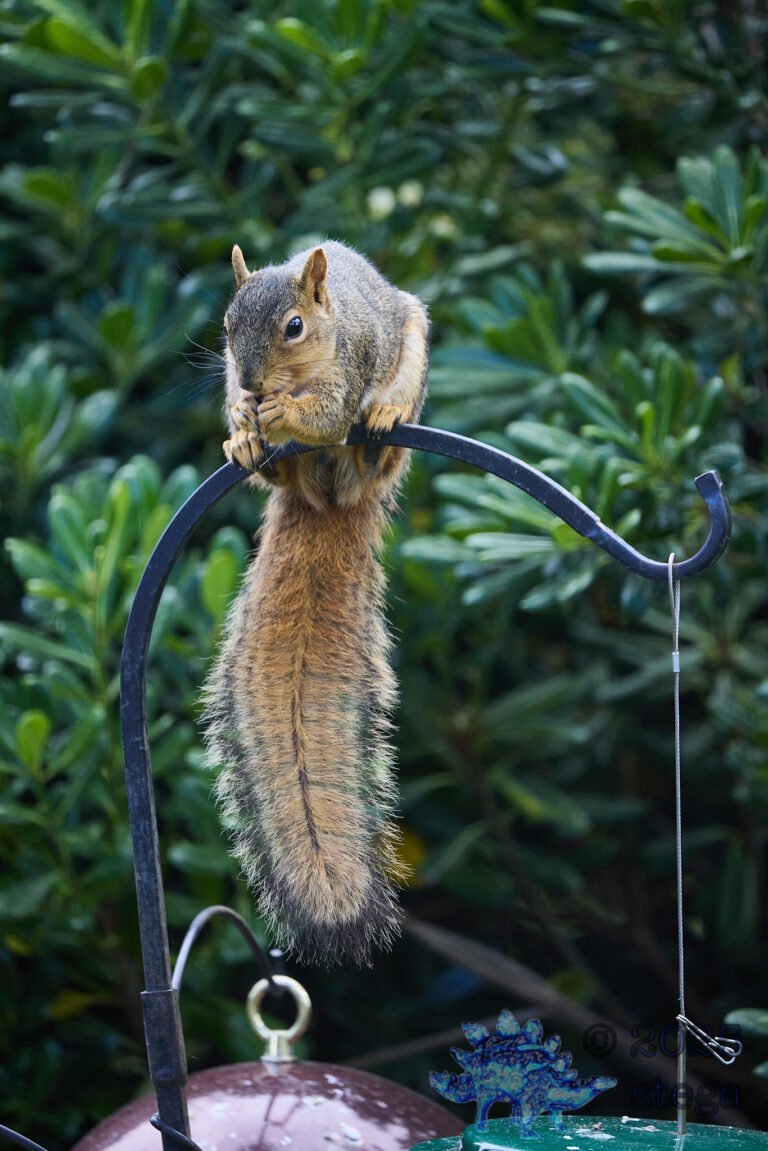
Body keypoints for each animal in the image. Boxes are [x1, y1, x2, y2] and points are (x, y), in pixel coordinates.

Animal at [202, 240, 429, 965]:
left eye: (294, 327)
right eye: (226, 325)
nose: (251, 384)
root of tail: (331, 499)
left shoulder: (351, 361)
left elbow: (328, 414)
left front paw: (283, 414)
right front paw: (243, 422)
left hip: (403, 383)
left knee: (372, 437)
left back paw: (381, 423)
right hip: (292, 474)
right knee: (281, 474)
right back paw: (256, 448)